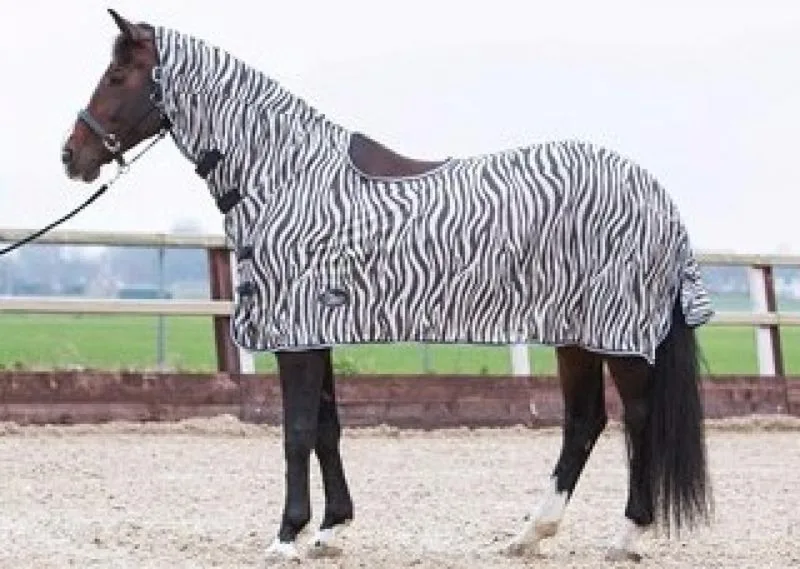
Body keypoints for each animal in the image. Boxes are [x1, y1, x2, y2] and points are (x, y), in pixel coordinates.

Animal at [61, 9, 714, 562]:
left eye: (118, 75)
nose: (72, 155)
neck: (287, 175)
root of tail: (660, 198)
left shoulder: (295, 331)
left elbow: (296, 432)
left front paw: (286, 536)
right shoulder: (315, 330)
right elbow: (326, 427)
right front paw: (330, 529)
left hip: (614, 333)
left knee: (637, 417)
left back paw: (626, 535)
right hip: (575, 333)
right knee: (584, 422)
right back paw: (529, 534)